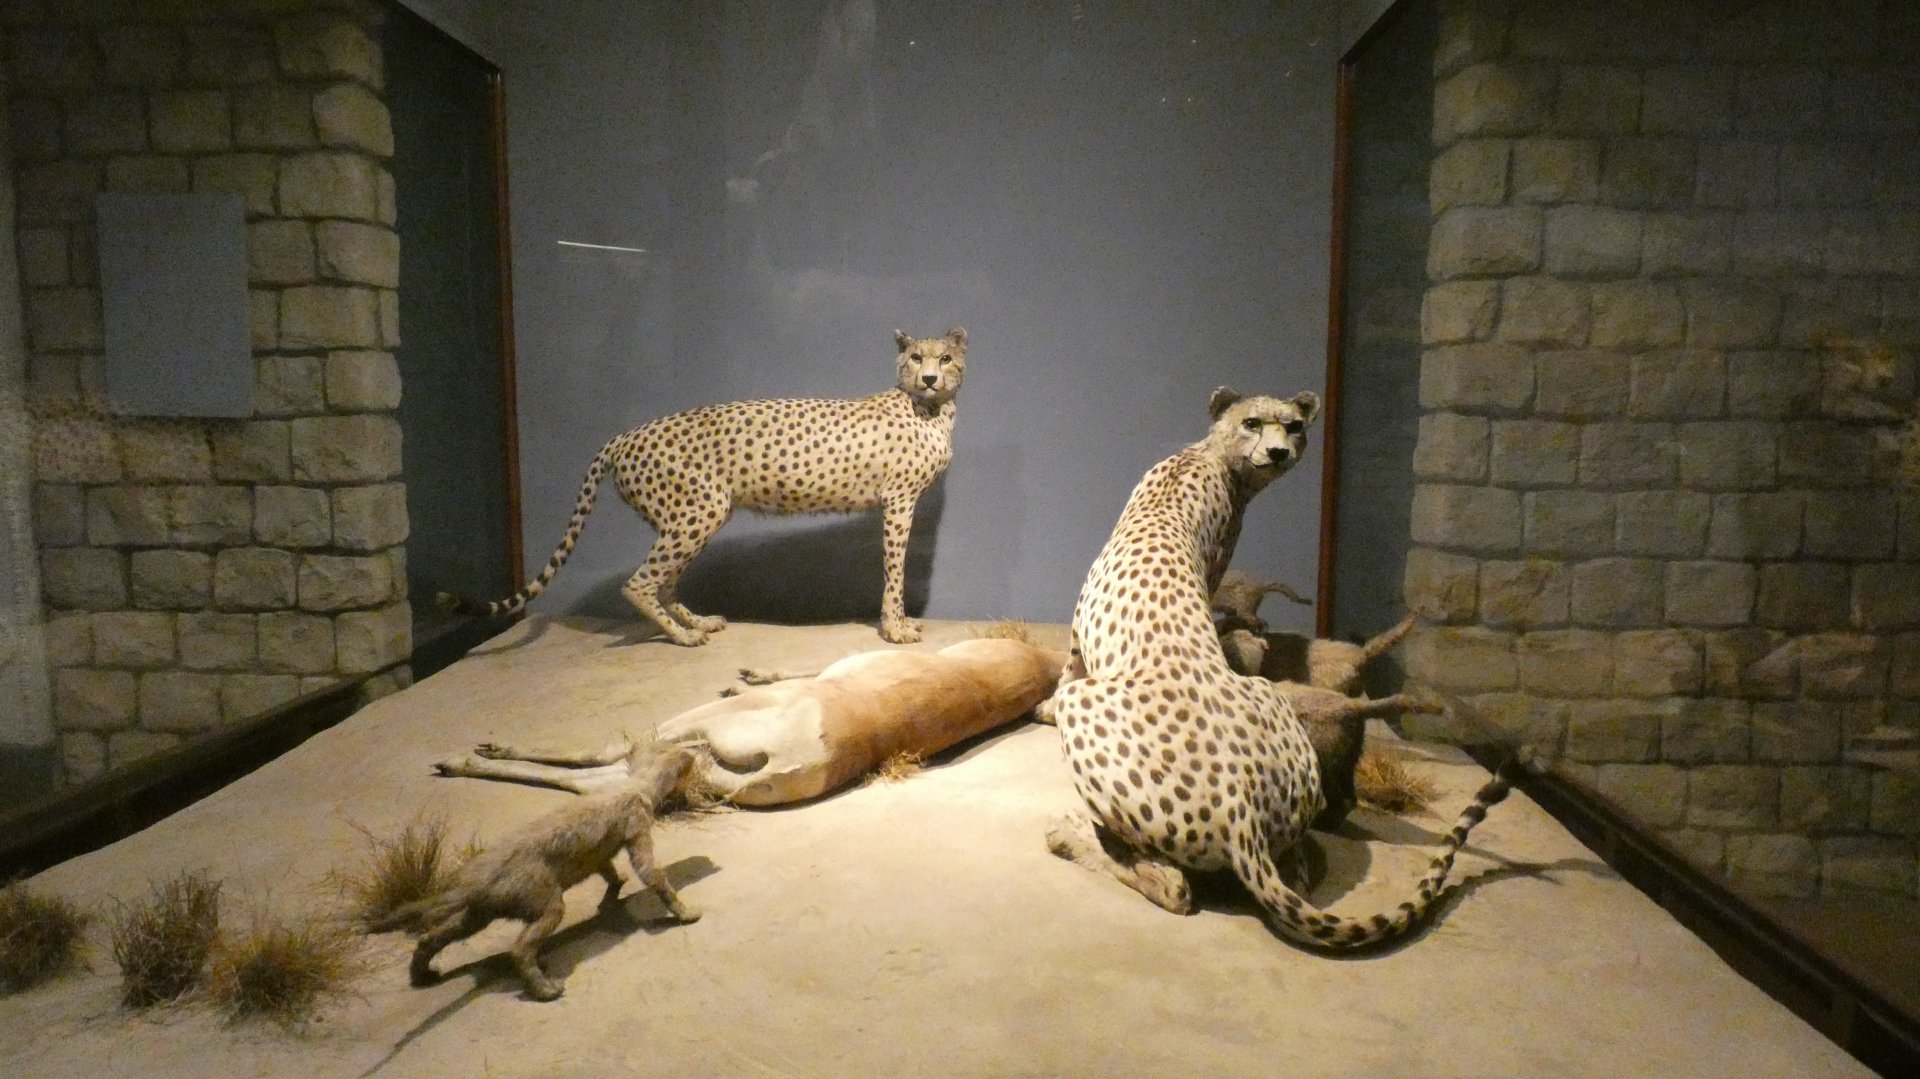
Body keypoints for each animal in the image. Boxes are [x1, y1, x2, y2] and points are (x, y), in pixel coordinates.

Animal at [440, 326, 967, 646]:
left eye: (945, 357)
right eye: (915, 357)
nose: (929, 377)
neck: (929, 408)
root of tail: (622, 436)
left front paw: (897, 625)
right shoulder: (898, 502)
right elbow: (894, 570)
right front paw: (897, 628)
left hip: (692, 516)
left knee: (664, 581)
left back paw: (698, 622)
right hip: (697, 512)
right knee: (640, 582)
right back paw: (683, 636)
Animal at [1044, 385, 1514, 950]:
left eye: (1292, 426)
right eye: (1253, 422)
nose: (1278, 451)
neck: (1209, 457)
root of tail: (1241, 812)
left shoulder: (1084, 637)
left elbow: (1066, 672)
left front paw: (1042, 710)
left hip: (1093, 720)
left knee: (1174, 887)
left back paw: (1068, 833)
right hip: (1278, 731)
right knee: (1299, 875)